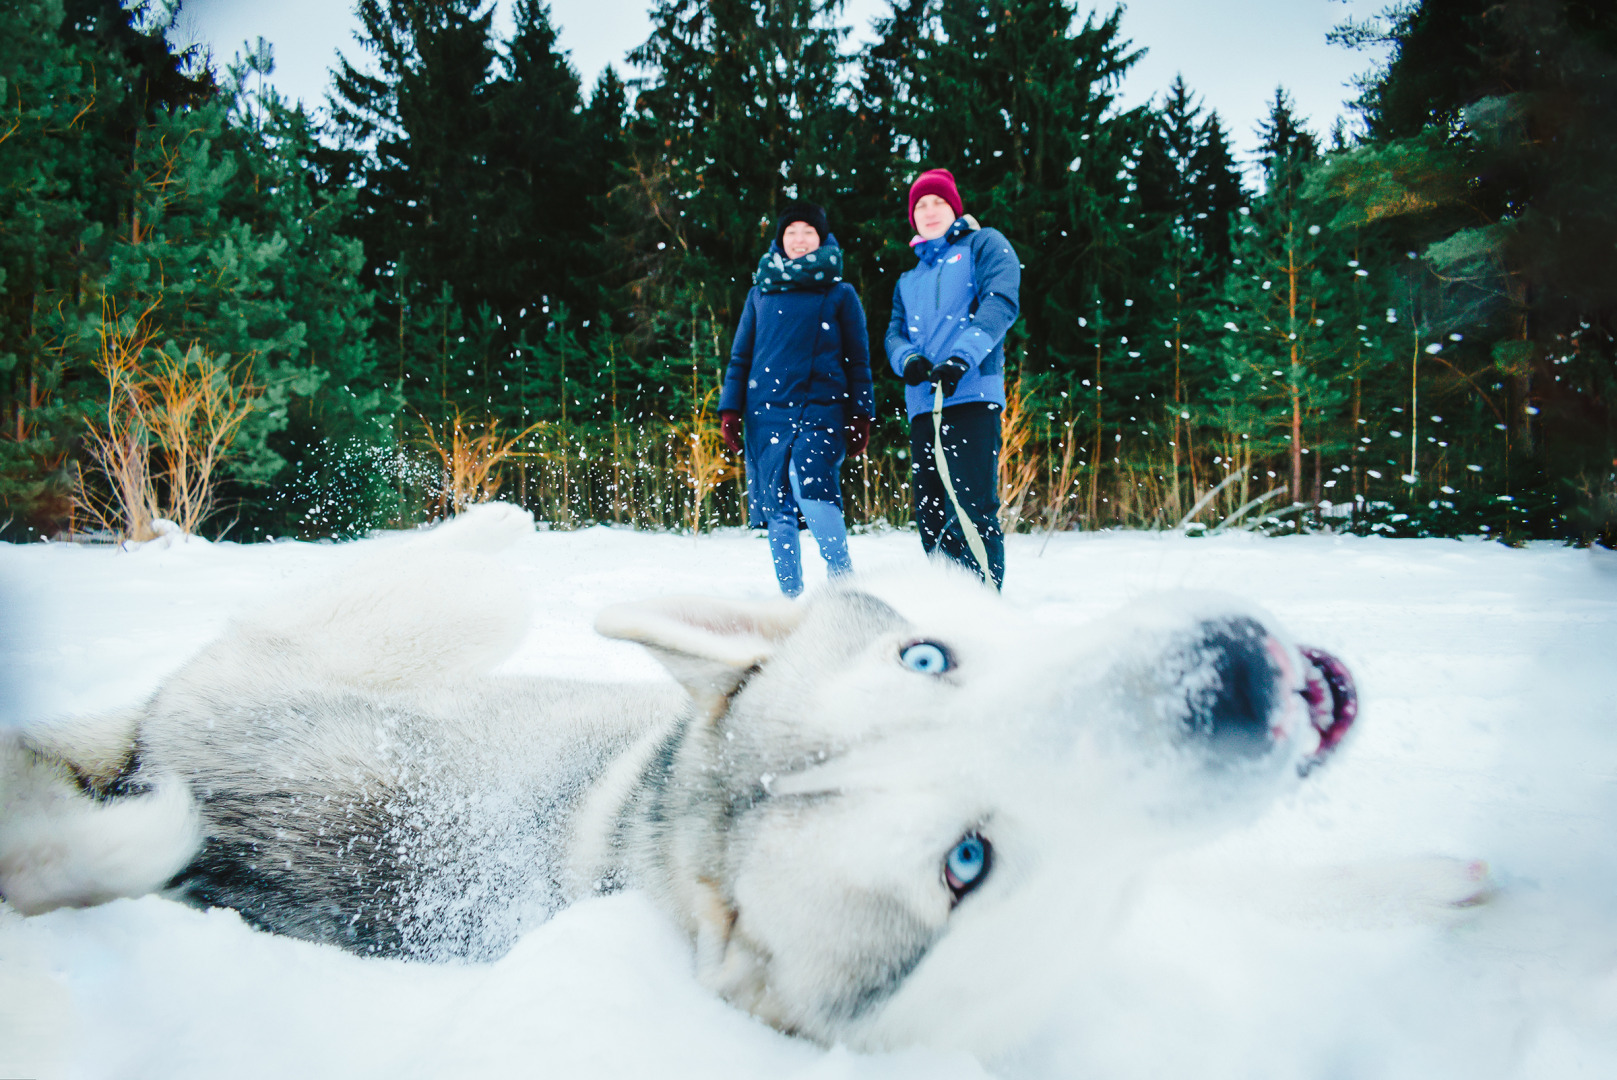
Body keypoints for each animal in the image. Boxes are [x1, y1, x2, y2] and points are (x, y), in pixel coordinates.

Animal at [6, 507, 1384, 1054]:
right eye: (965, 862)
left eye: (926, 655)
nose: (1230, 683)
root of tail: (144, 748)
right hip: (448, 610)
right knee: (468, 557)